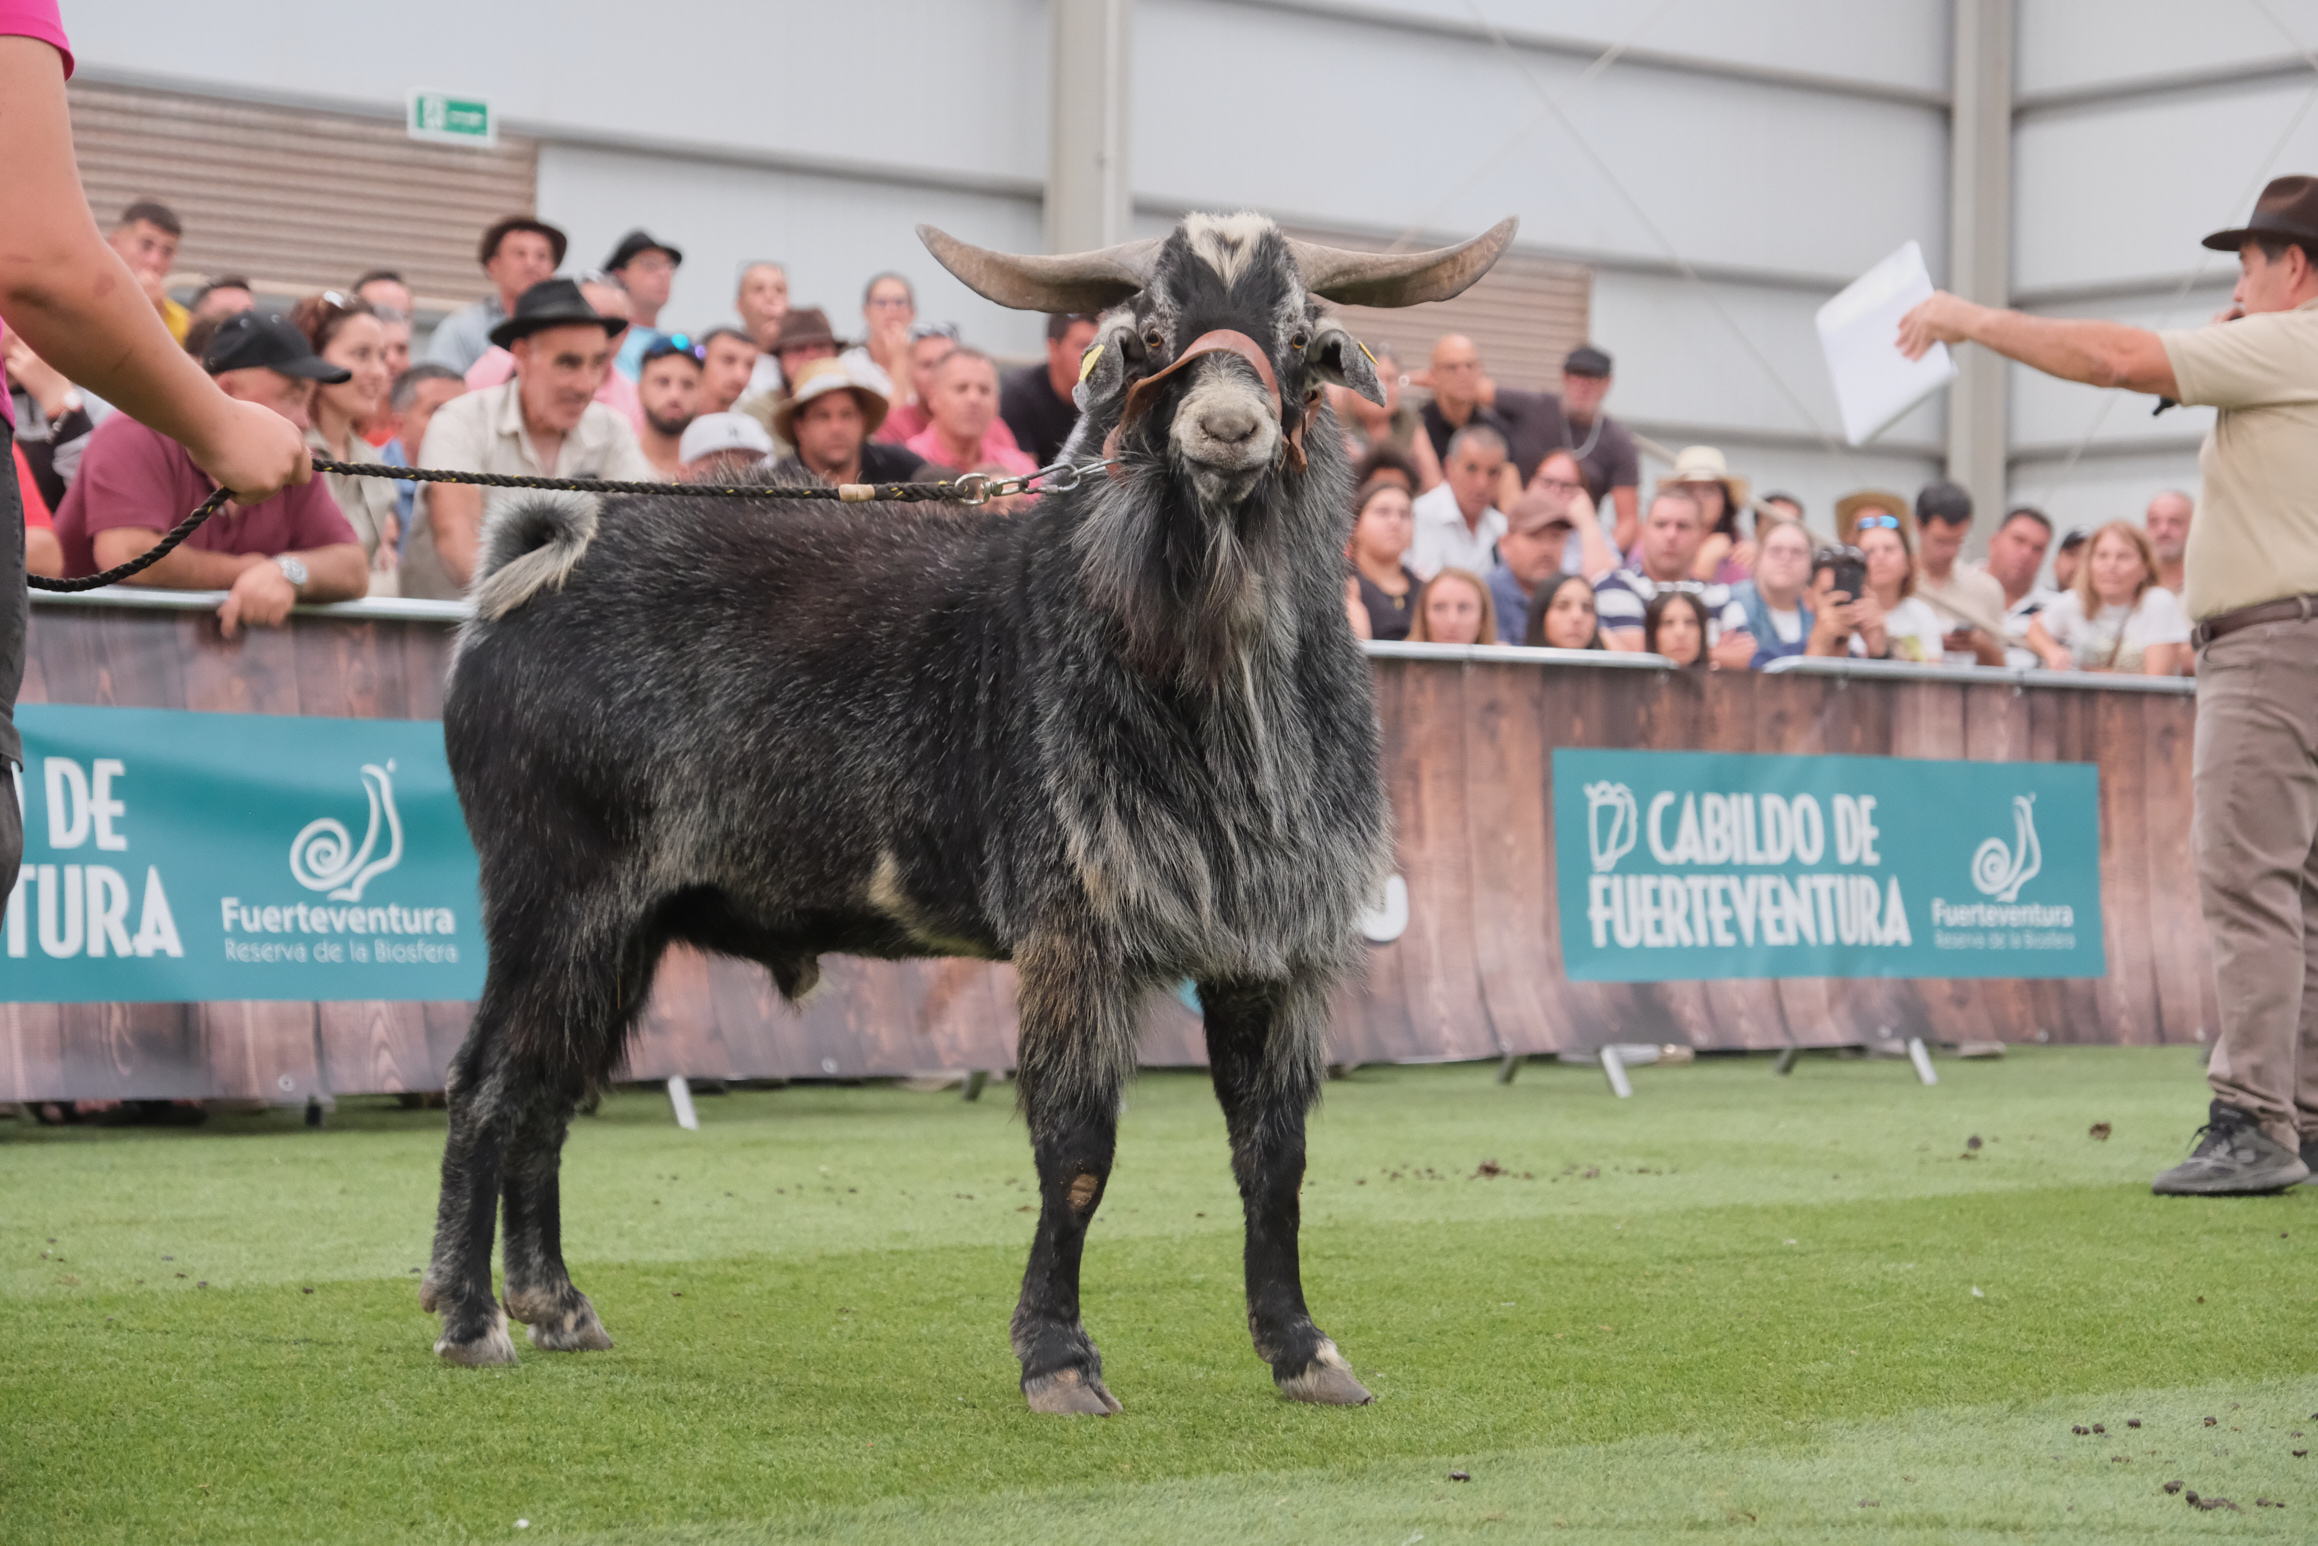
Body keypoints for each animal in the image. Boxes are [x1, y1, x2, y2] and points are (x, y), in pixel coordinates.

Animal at [424, 208, 1520, 1418]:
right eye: (1148, 333)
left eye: (1296, 335)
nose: (1229, 428)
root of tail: (535, 565)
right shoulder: (1074, 931)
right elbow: (1077, 1150)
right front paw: (1059, 1359)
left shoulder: (1267, 947)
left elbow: (1272, 1156)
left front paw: (1303, 1351)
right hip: (552, 890)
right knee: (486, 1084)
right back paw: (471, 1321)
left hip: (627, 924)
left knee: (549, 1089)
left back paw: (555, 1304)